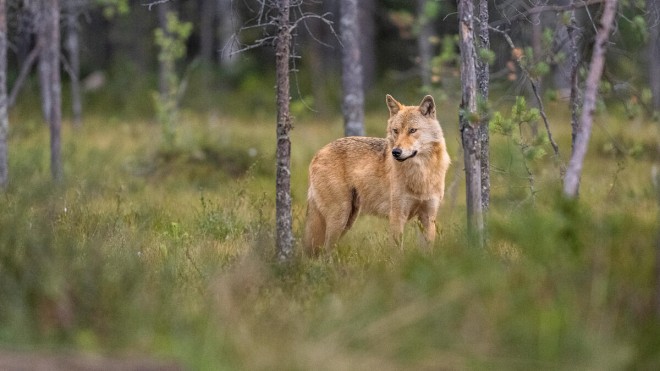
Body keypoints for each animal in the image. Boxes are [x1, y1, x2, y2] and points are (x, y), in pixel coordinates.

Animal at [302, 95, 448, 256]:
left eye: (412, 130)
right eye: (396, 131)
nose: (396, 152)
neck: (421, 174)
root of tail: (319, 152)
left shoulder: (428, 217)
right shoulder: (397, 216)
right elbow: (397, 252)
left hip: (348, 219)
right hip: (339, 218)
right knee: (325, 252)